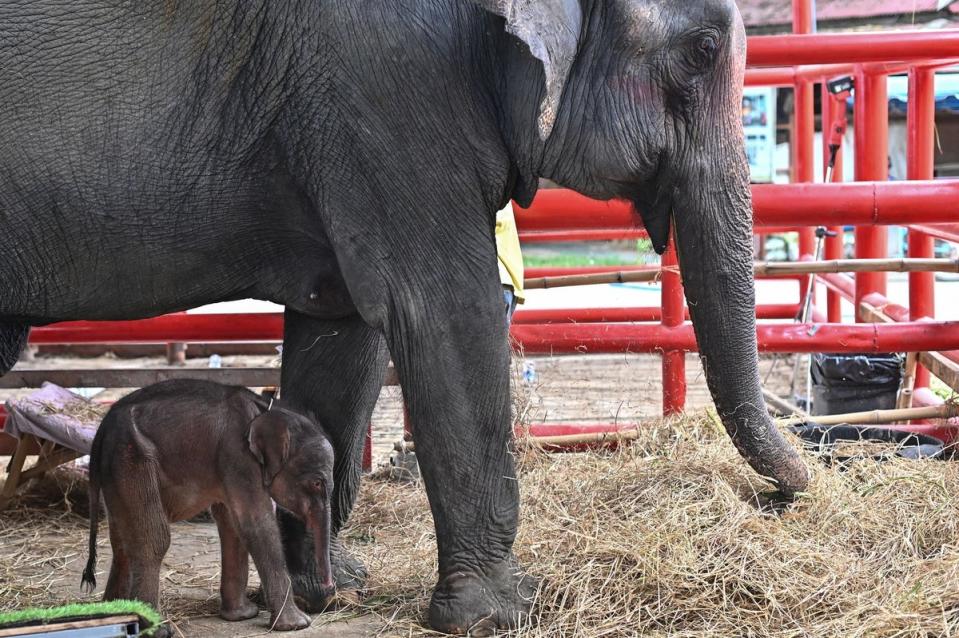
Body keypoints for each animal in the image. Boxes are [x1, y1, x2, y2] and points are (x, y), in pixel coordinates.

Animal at [82, 378, 338, 632]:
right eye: (317, 483)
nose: (329, 586)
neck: (265, 408)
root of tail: (101, 432)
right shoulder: (238, 456)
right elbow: (257, 524)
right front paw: (298, 624)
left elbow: (232, 525)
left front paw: (242, 615)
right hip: (133, 459)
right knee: (153, 539)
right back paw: (157, 628)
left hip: (117, 470)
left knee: (122, 543)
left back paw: (113, 613)